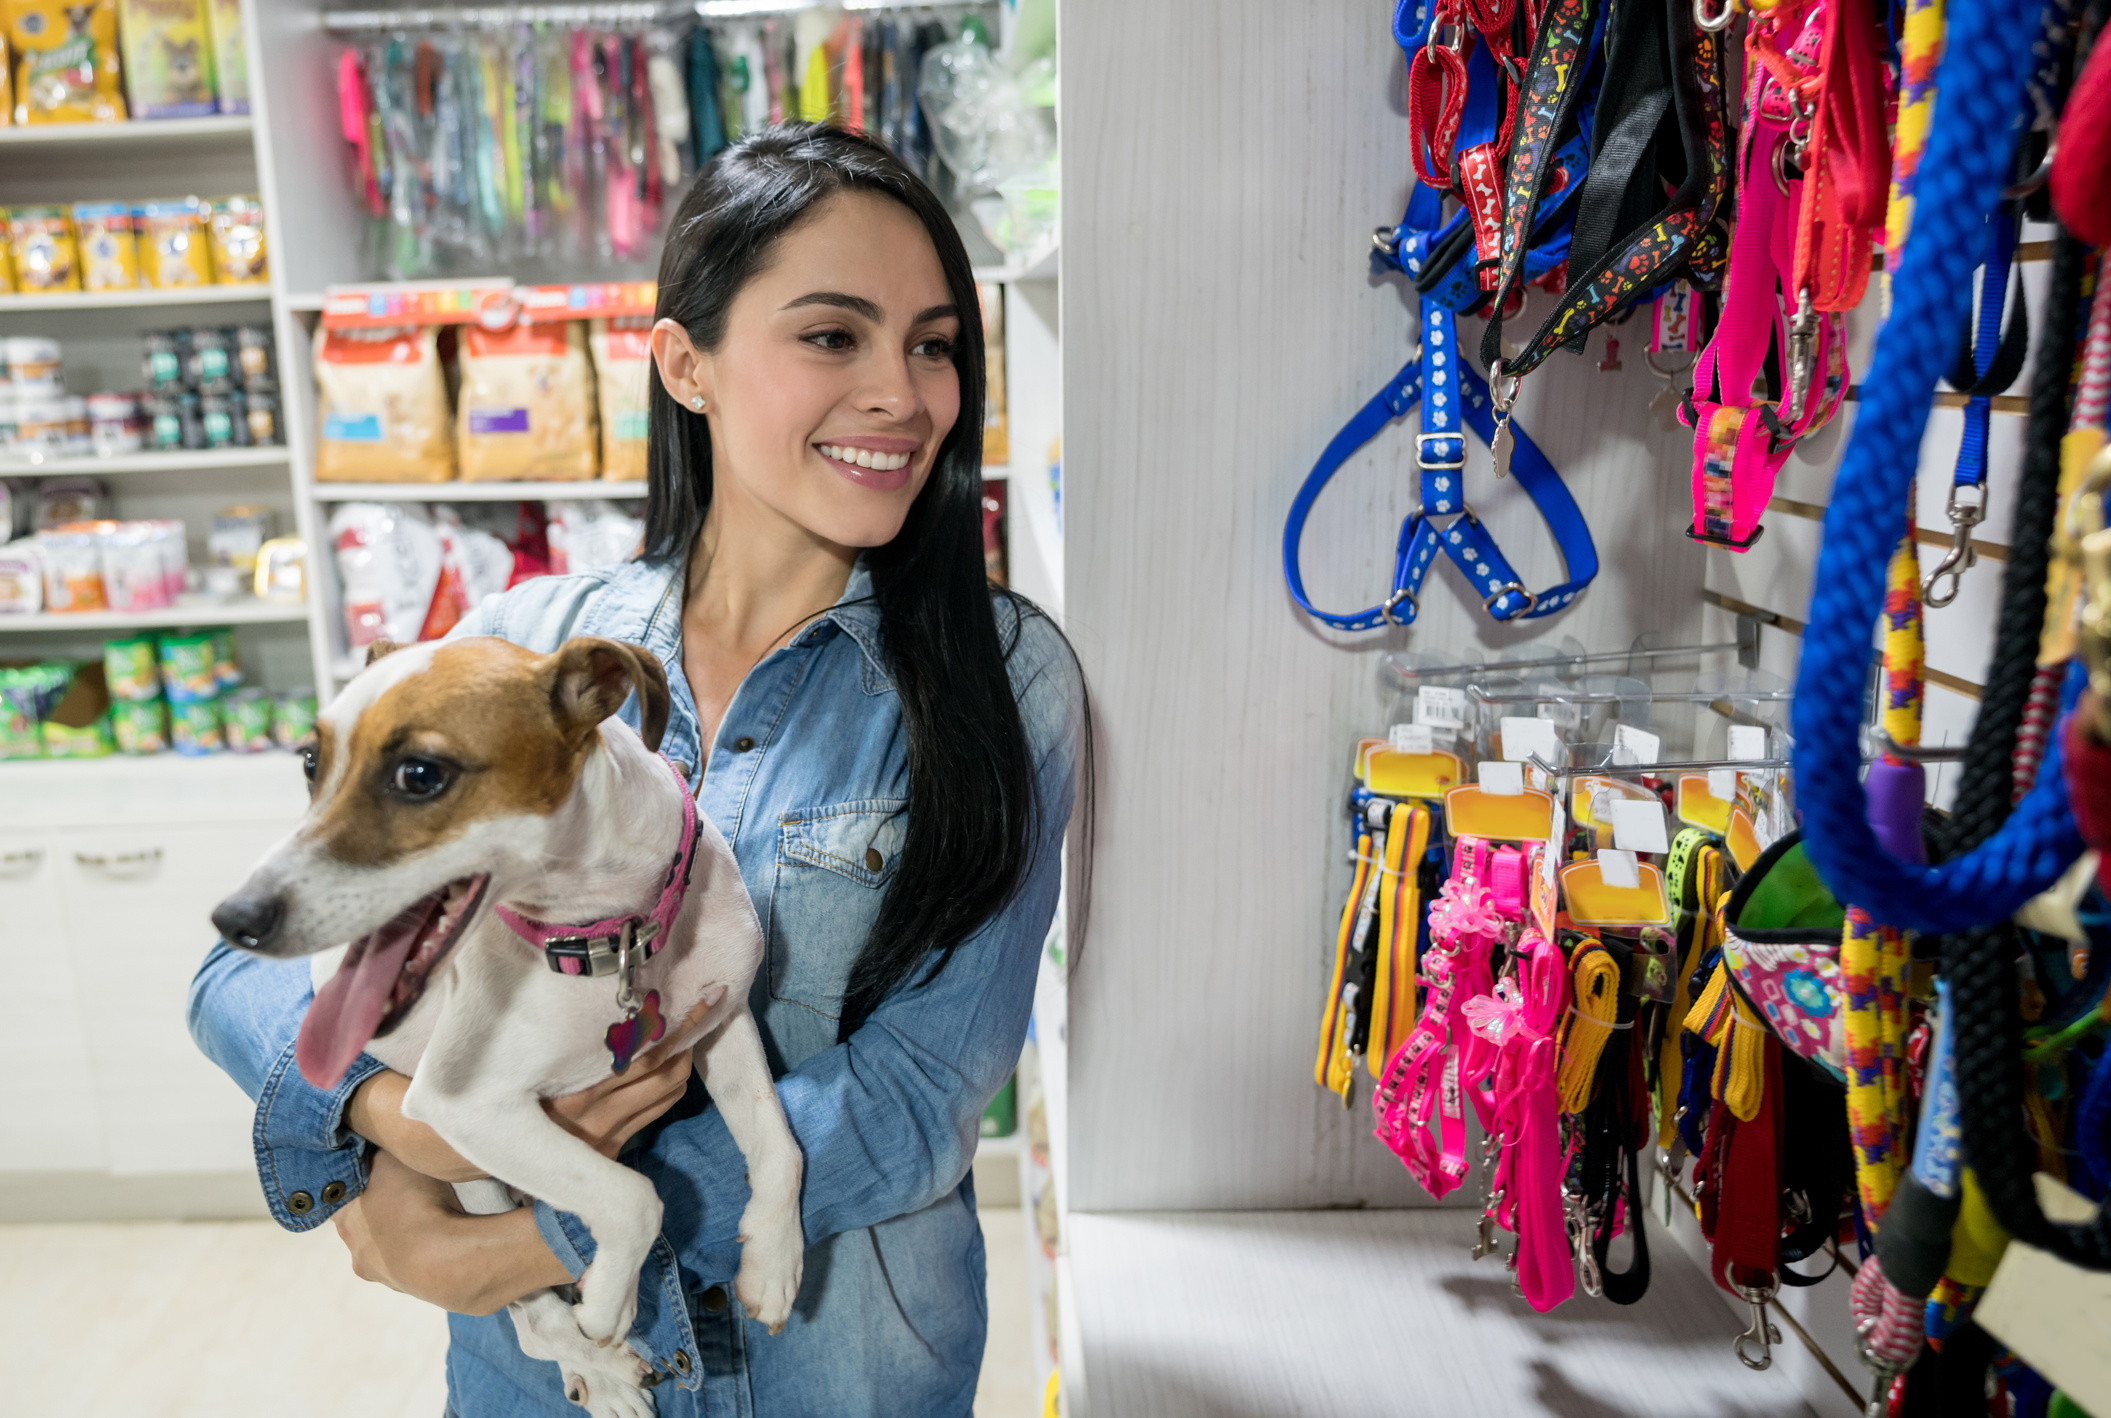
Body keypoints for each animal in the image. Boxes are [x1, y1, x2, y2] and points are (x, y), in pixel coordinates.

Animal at [214, 637, 802, 1409]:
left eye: (420, 775)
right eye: (311, 763)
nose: (233, 919)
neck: (610, 935)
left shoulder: (723, 1020)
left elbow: (778, 1145)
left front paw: (774, 1262)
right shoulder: (465, 1104)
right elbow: (633, 1197)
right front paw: (607, 1302)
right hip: (474, 1176)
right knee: (533, 1321)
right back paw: (600, 1374)